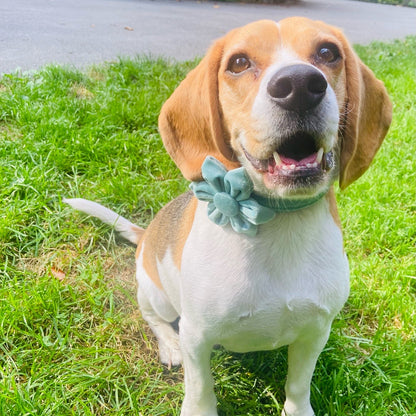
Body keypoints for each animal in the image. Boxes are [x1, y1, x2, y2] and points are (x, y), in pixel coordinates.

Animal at [66, 17, 392, 416]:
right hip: (157, 296)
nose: (300, 85)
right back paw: (168, 344)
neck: (278, 220)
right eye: (238, 62)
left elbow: (298, 384)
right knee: (154, 318)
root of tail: (146, 236)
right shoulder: (197, 335)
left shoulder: (316, 330)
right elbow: (199, 386)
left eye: (328, 52)